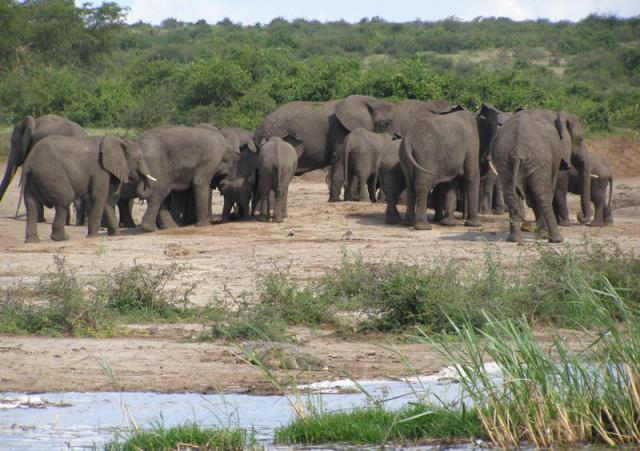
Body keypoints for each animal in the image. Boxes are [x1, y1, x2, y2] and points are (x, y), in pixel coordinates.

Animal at [21, 135, 154, 244]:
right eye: (139, 158)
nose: (140, 177)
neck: (117, 141)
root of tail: (29, 163)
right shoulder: (99, 169)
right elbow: (99, 196)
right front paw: (93, 236)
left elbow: (107, 199)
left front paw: (116, 235)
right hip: (51, 175)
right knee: (64, 200)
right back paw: (62, 239)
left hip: (31, 180)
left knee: (31, 205)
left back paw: (33, 241)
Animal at [490, 110, 592, 244]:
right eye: (580, 139)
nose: (580, 215)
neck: (557, 115)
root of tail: (517, 147)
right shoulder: (553, 157)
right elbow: (548, 188)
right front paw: (543, 235)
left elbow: (530, 196)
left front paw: (540, 234)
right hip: (539, 158)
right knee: (542, 195)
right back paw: (557, 239)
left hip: (504, 158)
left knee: (511, 195)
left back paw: (514, 239)